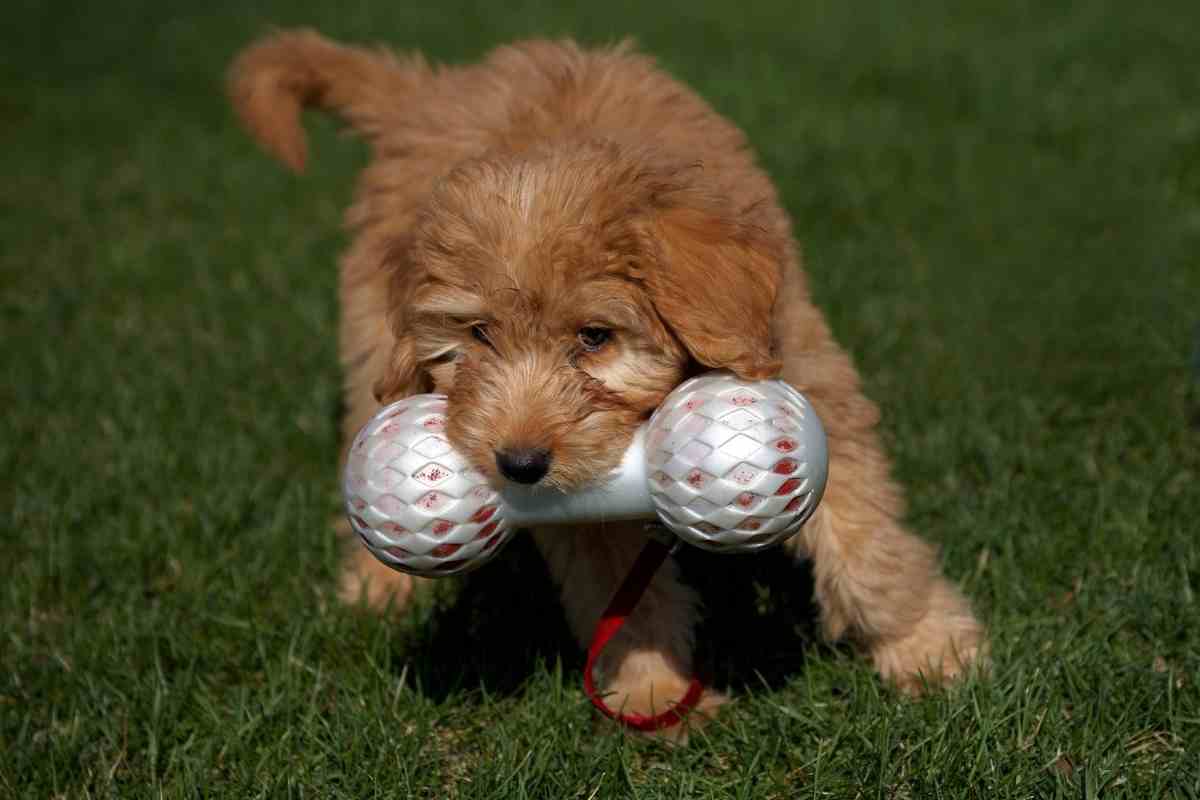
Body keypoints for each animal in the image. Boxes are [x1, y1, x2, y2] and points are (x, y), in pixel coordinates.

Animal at [225, 31, 984, 729]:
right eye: (479, 336)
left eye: (594, 337)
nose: (519, 464)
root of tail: (432, 91)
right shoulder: (576, 503)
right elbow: (623, 588)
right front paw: (653, 689)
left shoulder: (807, 378)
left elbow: (867, 541)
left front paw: (926, 648)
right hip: (371, 348)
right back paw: (377, 590)